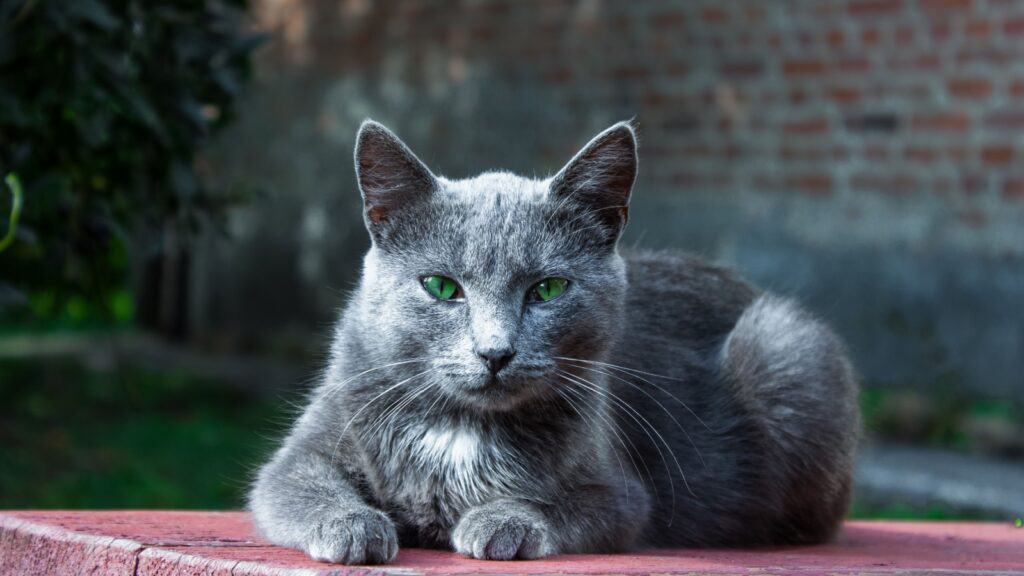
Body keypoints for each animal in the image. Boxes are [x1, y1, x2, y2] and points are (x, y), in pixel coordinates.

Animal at [251, 118, 860, 561]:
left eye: (547, 288)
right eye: (442, 286)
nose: (494, 352)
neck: (463, 428)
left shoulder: (620, 495)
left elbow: (560, 503)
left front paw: (502, 520)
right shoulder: (301, 452)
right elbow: (297, 485)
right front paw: (354, 527)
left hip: (783, 345)